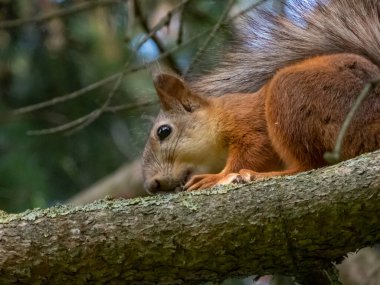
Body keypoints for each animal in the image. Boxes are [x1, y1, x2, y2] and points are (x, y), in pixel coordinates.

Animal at [141, 0, 380, 193]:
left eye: (163, 131)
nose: (152, 186)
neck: (219, 115)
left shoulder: (247, 123)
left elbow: (253, 151)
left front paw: (216, 178)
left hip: (290, 94)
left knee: (309, 165)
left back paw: (260, 176)